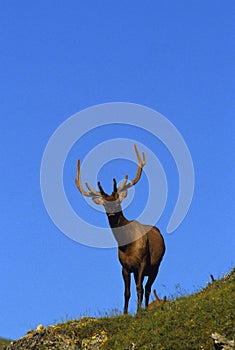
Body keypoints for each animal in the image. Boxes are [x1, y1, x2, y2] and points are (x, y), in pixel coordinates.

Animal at [75, 144, 165, 314]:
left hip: (156, 266)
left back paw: (145, 308)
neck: (127, 245)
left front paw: (138, 312)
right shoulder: (124, 267)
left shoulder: (142, 261)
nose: (111, 213)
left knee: (147, 288)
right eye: (105, 203)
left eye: (117, 200)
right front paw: (125, 313)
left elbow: (139, 288)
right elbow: (126, 292)